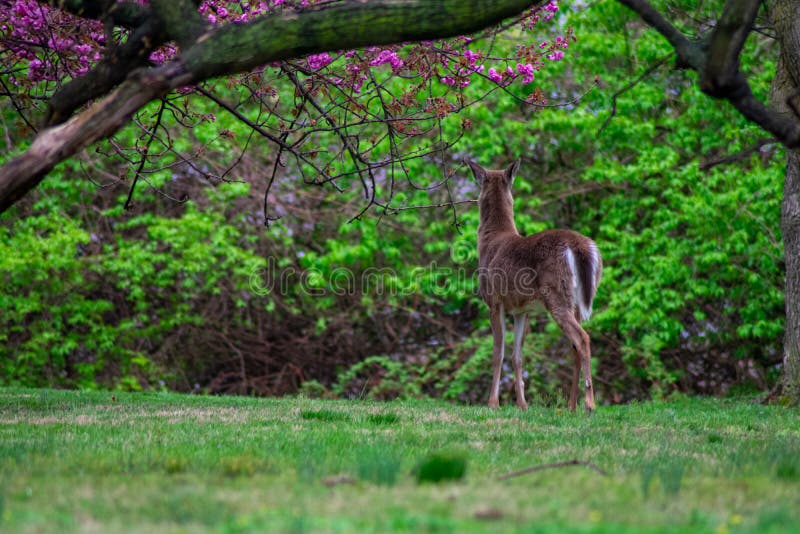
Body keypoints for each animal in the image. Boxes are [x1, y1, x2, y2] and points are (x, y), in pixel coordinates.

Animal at [465, 159, 602, 412]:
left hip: (556, 294)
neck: (490, 242)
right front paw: (522, 405)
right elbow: (517, 356)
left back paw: (589, 404)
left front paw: (492, 403)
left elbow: (498, 353)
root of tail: (579, 246)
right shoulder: (522, 309)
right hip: (577, 300)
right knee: (575, 346)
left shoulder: (494, 301)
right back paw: (571, 406)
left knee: (583, 338)